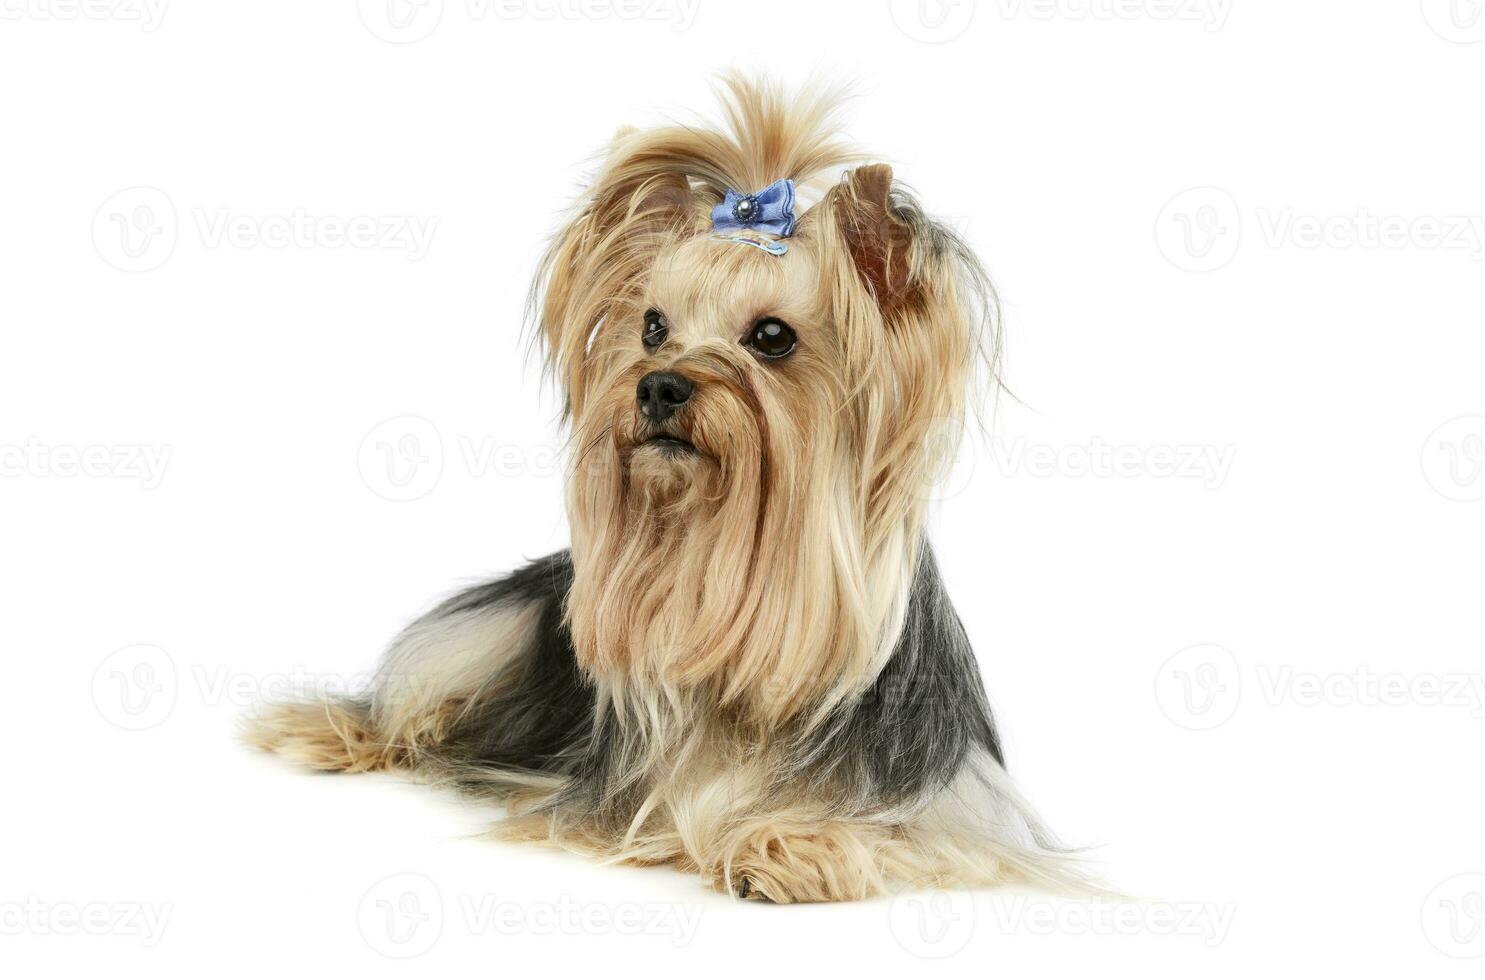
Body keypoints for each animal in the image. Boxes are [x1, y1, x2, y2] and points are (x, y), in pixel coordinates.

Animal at [246, 74, 1081, 902]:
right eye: (652, 326)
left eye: (771, 337)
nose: (657, 386)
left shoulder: (961, 810)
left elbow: (921, 839)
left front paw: (796, 841)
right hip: (497, 628)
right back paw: (329, 733)